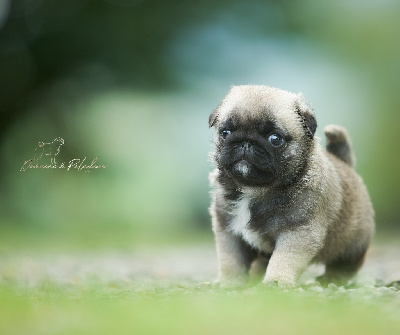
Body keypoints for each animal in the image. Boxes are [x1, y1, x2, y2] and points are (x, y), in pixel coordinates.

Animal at [209, 85, 376, 288]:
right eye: (225, 133)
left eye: (275, 138)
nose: (245, 142)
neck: (254, 189)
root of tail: (345, 163)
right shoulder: (228, 231)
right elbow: (231, 260)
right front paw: (229, 282)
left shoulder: (296, 232)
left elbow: (283, 259)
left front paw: (276, 282)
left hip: (352, 245)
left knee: (343, 266)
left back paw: (329, 280)